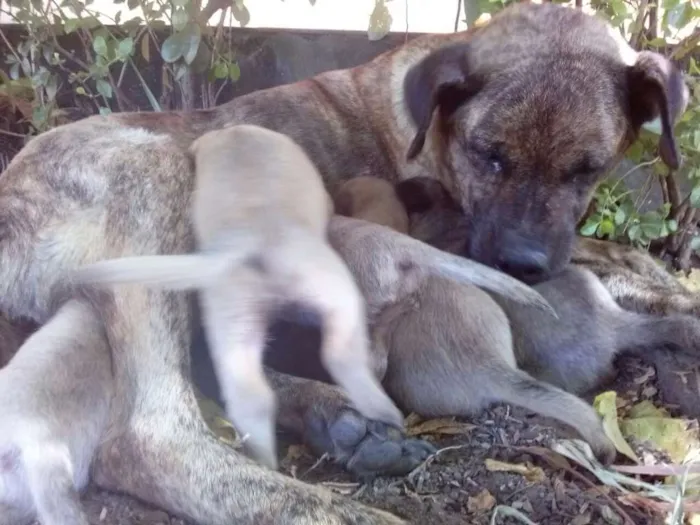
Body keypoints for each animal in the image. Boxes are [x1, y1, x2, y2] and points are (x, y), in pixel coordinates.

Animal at [74, 125, 404, 468]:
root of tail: (252, 245)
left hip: (233, 318)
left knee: (251, 398)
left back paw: (266, 458)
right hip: (335, 289)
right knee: (343, 355)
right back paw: (383, 410)